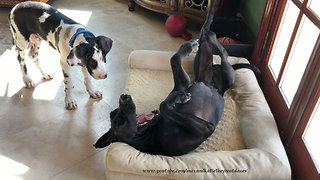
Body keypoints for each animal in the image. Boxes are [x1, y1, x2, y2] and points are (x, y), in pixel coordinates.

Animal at [92, 0, 238, 156]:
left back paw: (205, 33)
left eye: (114, 113)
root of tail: (212, 85)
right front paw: (179, 97)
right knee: (224, 54)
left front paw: (187, 47)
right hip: (228, 75)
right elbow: (163, 105)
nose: (124, 96)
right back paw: (211, 37)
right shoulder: (205, 129)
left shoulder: (182, 84)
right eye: (119, 121)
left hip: (202, 63)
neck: (151, 133)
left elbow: (174, 60)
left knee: (207, 36)